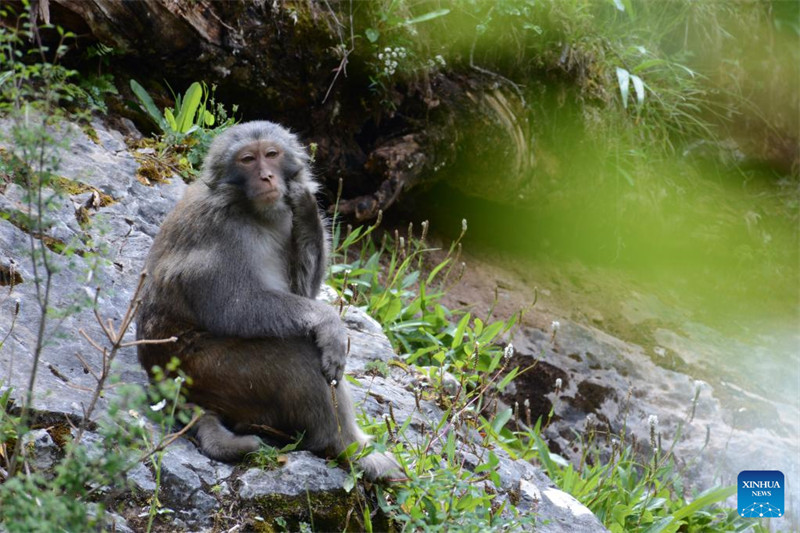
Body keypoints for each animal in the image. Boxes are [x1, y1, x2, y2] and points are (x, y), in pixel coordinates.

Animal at [138, 121, 404, 482]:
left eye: (272, 154)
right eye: (248, 159)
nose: (267, 176)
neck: (248, 208)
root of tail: (159, 379)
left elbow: (302, 289)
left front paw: (306, 202)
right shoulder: (221, 230)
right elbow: (236, 308)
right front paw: (328, 322)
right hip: (209, 371)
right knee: (301, 353)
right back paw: (346, 447)